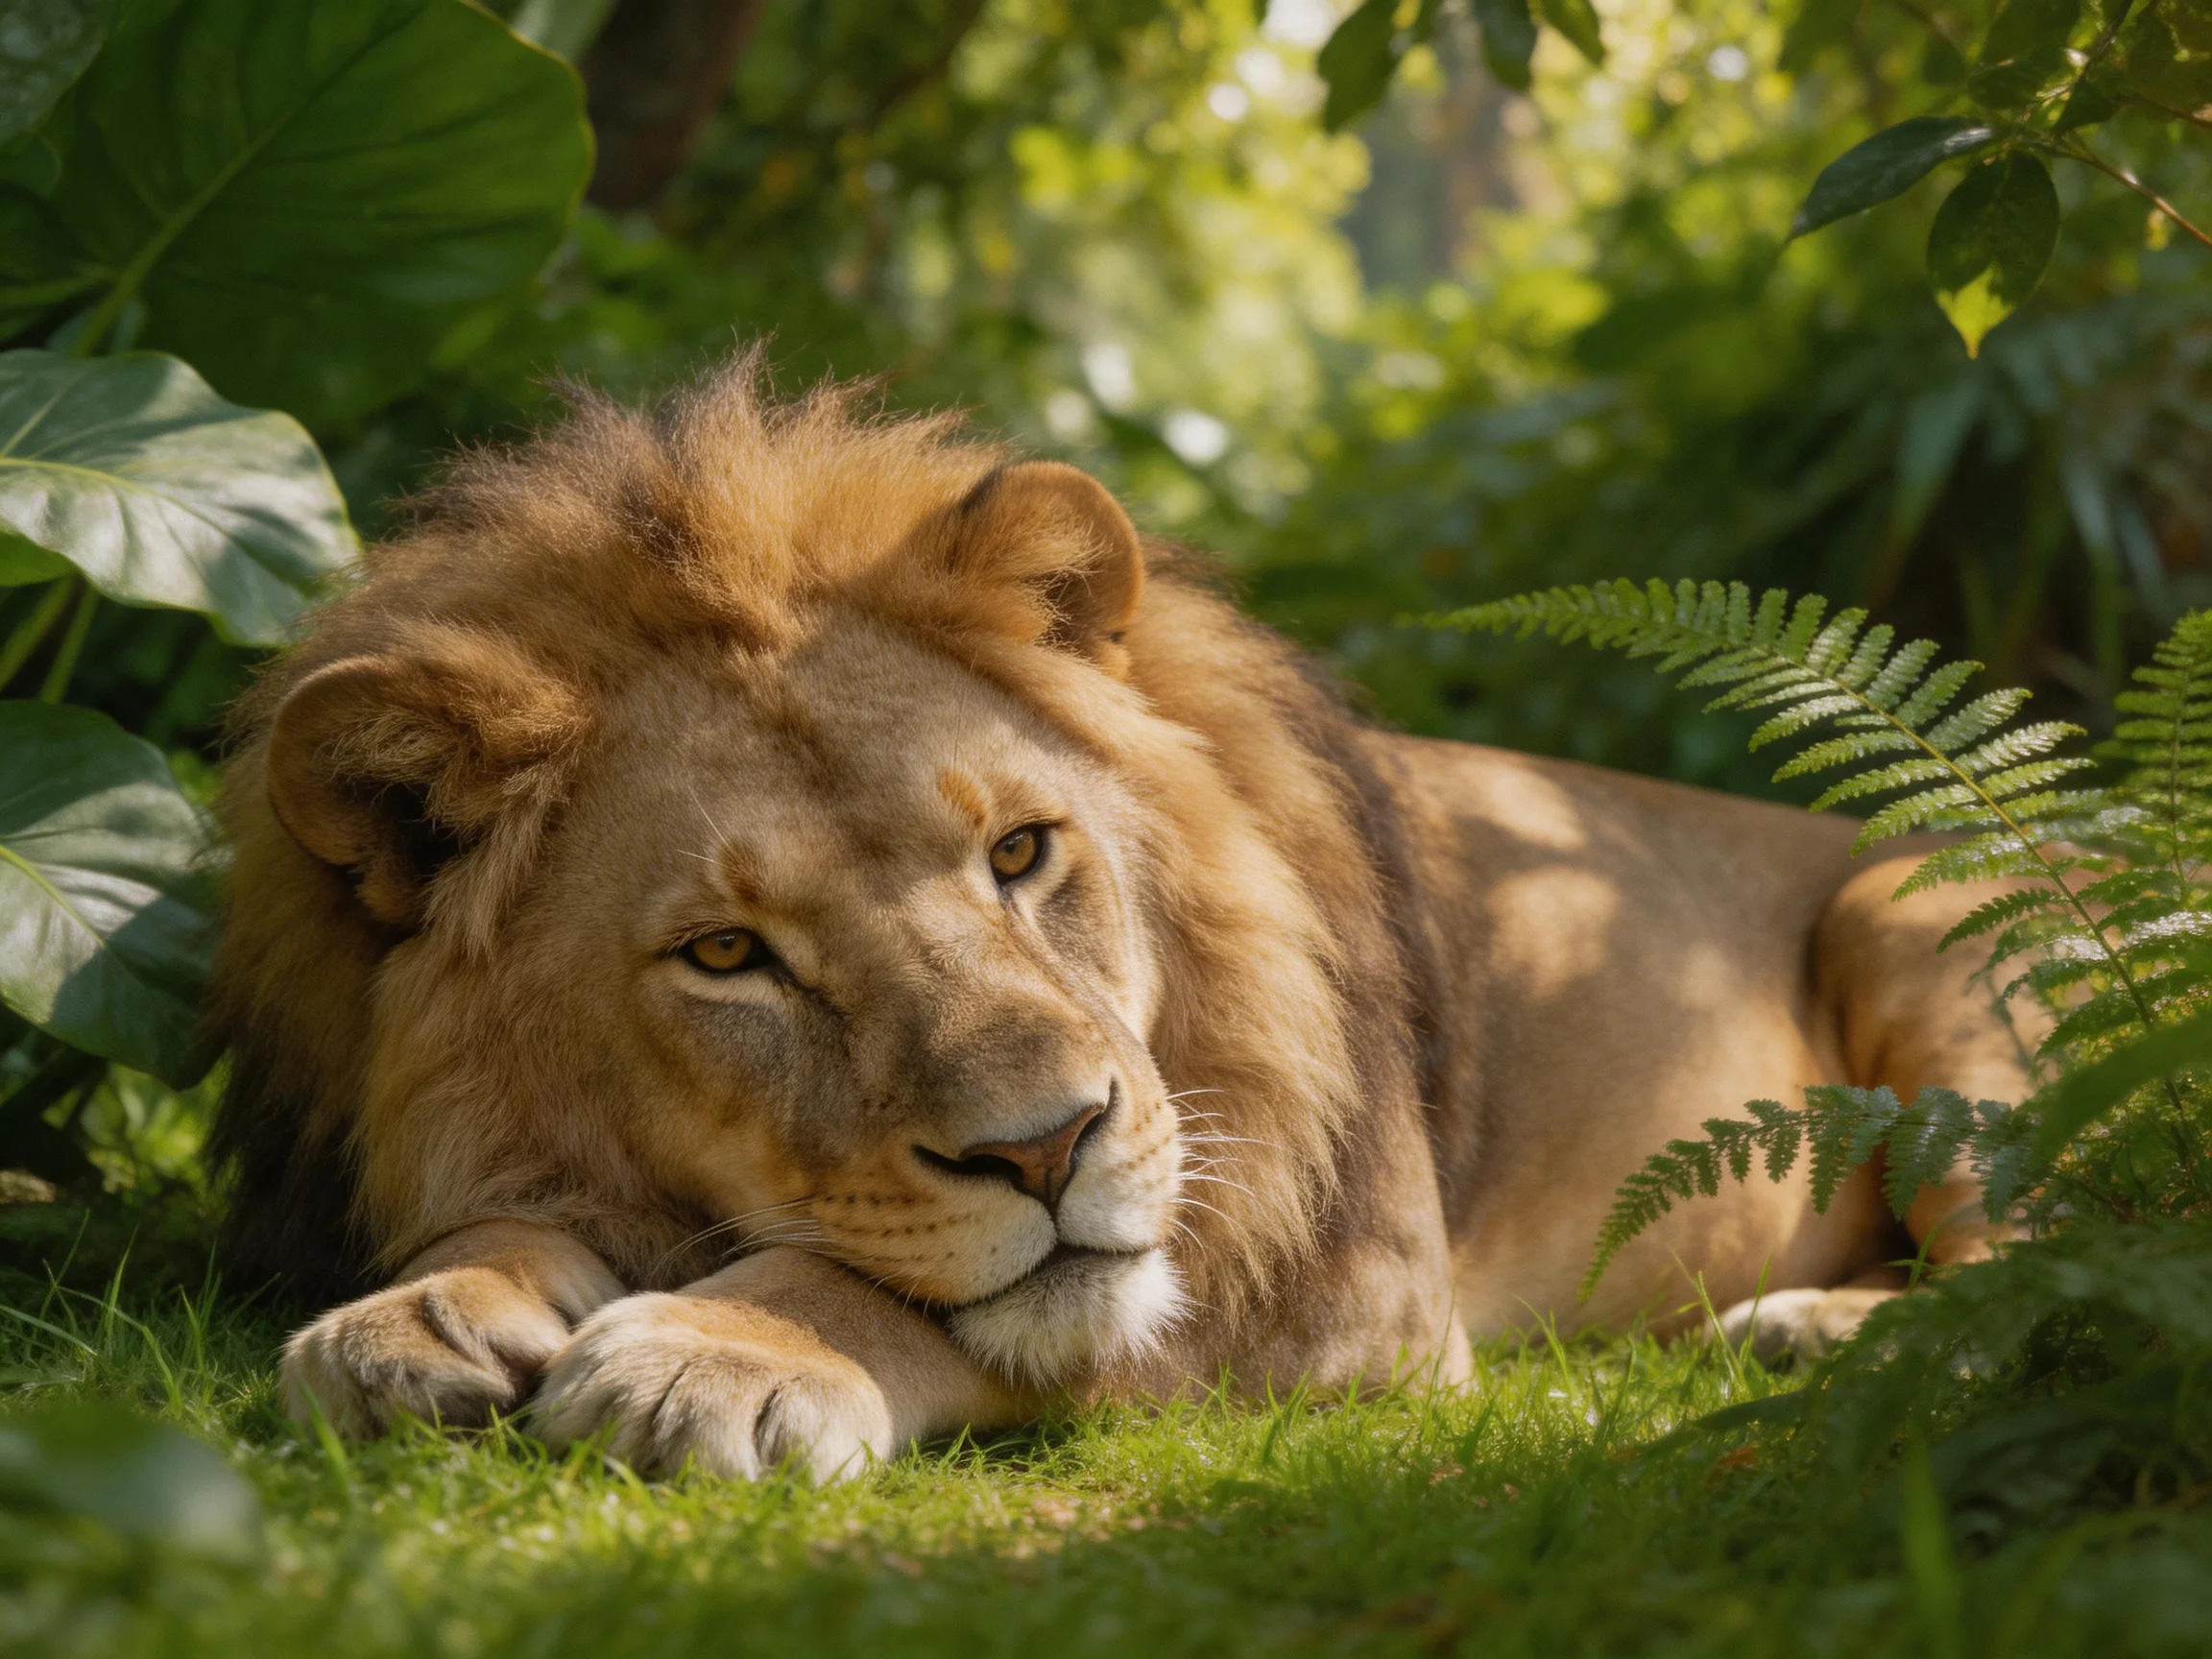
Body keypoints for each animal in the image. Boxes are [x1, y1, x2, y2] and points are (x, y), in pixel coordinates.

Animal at [207, 361, 2027, 1480]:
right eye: (728, 956)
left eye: (1020, 851)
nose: (1046, 1148)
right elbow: (488, 1218)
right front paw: (419, 1313)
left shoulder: (1341, 1303)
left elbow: (924, 1300)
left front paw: (717, 1350)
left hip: (1909, 919)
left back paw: (1807, 1328)